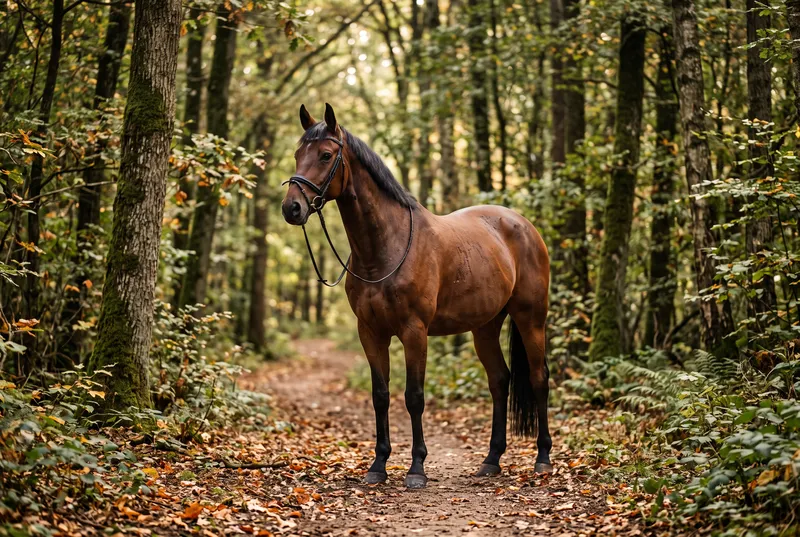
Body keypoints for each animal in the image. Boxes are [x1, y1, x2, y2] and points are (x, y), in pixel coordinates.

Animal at [281, 103, 552, 489]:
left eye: (325, 155)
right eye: (297, 154)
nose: (292, 208)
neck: (386, 247)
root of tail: (523, 225)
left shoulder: (414, 331)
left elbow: (414, 397)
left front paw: (417, 468)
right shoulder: (370, 332)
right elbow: (381, 396)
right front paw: (378, 465)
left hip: (531, 319)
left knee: (539, 378)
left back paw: (543, 458)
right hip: (485, 326)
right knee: (500, 381)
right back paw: (491, 460)